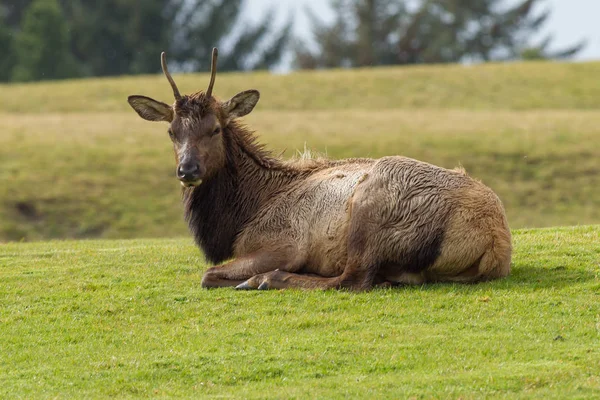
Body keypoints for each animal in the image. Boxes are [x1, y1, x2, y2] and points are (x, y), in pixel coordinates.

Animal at [126, 48, 510, 290]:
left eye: (216, 128)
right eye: (172, 131)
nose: (188, 170)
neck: (241, 216)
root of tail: (496, 242)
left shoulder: (283, 243)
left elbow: (208, 275)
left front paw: (252, 277)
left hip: (371, 208)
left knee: (353, 281)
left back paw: (265, 280)